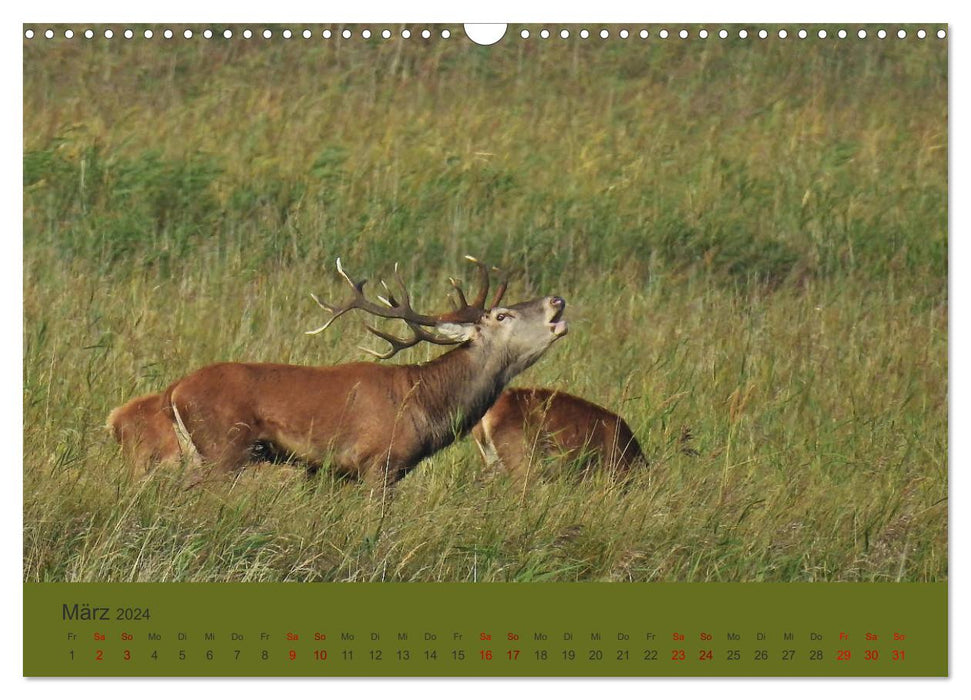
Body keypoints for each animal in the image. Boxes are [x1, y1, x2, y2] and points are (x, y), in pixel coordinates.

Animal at [104, 258, 568, 492]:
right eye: (502, 315)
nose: (557, 300)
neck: (425, 405)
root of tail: (173, 390)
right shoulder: (379, 462)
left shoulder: (329, 471)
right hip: (222, 448)